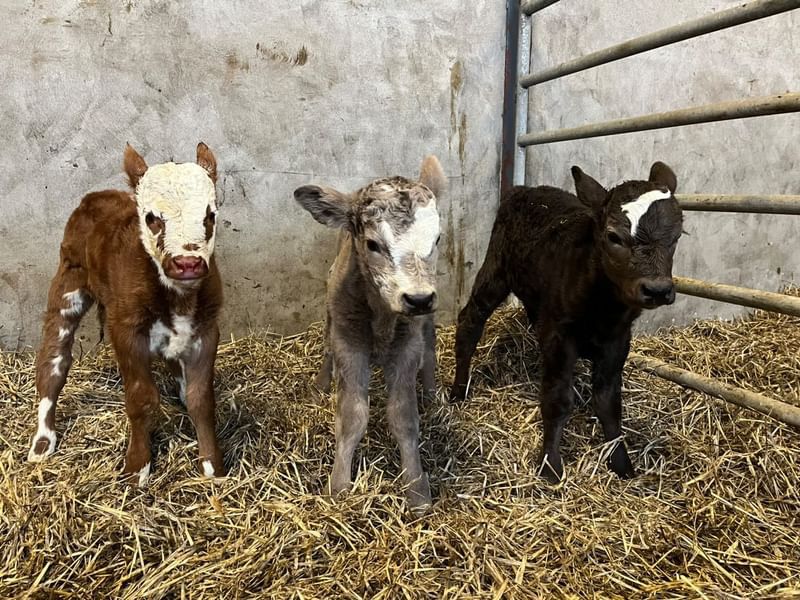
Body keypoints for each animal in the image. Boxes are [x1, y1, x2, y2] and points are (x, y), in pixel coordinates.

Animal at [27, 143, 225, 486]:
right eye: (151, 218)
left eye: (210, 215)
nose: (187, 263)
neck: (178, 299)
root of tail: (97, 196)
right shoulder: (125, 329)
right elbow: (141, 398)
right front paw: (136, 467)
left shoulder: (206, 328)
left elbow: (202, 399)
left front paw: (212, 467)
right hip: (68, 283)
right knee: (53, 360)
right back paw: (43, 441)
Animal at [294, 155, 446, 513]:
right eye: (373, 244)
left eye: (437, 239)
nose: (418, 298)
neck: (382, 319)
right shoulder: (348, 341)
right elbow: (352, 415)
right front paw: (339, 486)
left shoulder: (408, 343)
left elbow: (404, 417)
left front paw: (417, 492)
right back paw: (321, 385)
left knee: (431, 350)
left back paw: (432, 394)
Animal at [450, 162, 683, 482]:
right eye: (614, 236)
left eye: (677, 235)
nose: (657, 289)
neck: (604, 311)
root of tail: (524, 189)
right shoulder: (560, 335)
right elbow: (558, 398)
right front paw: (550, 465)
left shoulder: (618, 341)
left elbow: (609, 402)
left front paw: (621, 464)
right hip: (495, 269)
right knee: (470, 320)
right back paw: (458, 390)